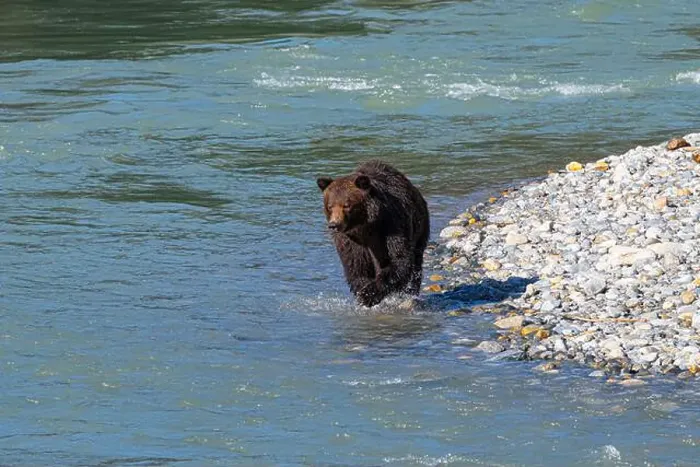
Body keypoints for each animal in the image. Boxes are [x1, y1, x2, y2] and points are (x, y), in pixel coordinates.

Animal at [316, 160, 430, 307]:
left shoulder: (393, 223)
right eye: (330, 206)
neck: (367, 226)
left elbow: (399, 260)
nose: (334, 225)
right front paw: (363, 292)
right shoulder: (350, 240)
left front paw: (368, 294)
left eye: (346, 205)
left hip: (420, 228)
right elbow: (356, 267)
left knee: (415, 263)